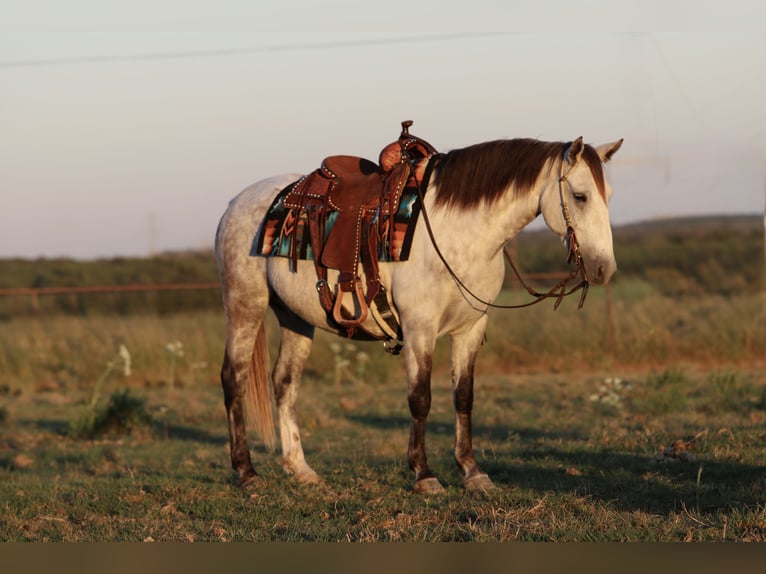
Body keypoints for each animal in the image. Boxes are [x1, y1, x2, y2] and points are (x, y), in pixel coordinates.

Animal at [215, 131, 622, 493]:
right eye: (580, 196)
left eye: (608, 196)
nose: (604, 269)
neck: (458, 232)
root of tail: (235, 202)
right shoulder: (419, 329)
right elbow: (420, 398)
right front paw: (424, 475)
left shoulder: (470, 329)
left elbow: (464, 397)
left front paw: (472, 472)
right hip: (245, 305)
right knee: (233, 379)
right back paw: (246, 472)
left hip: (296, 319)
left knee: (285, 383)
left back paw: (300, 470)